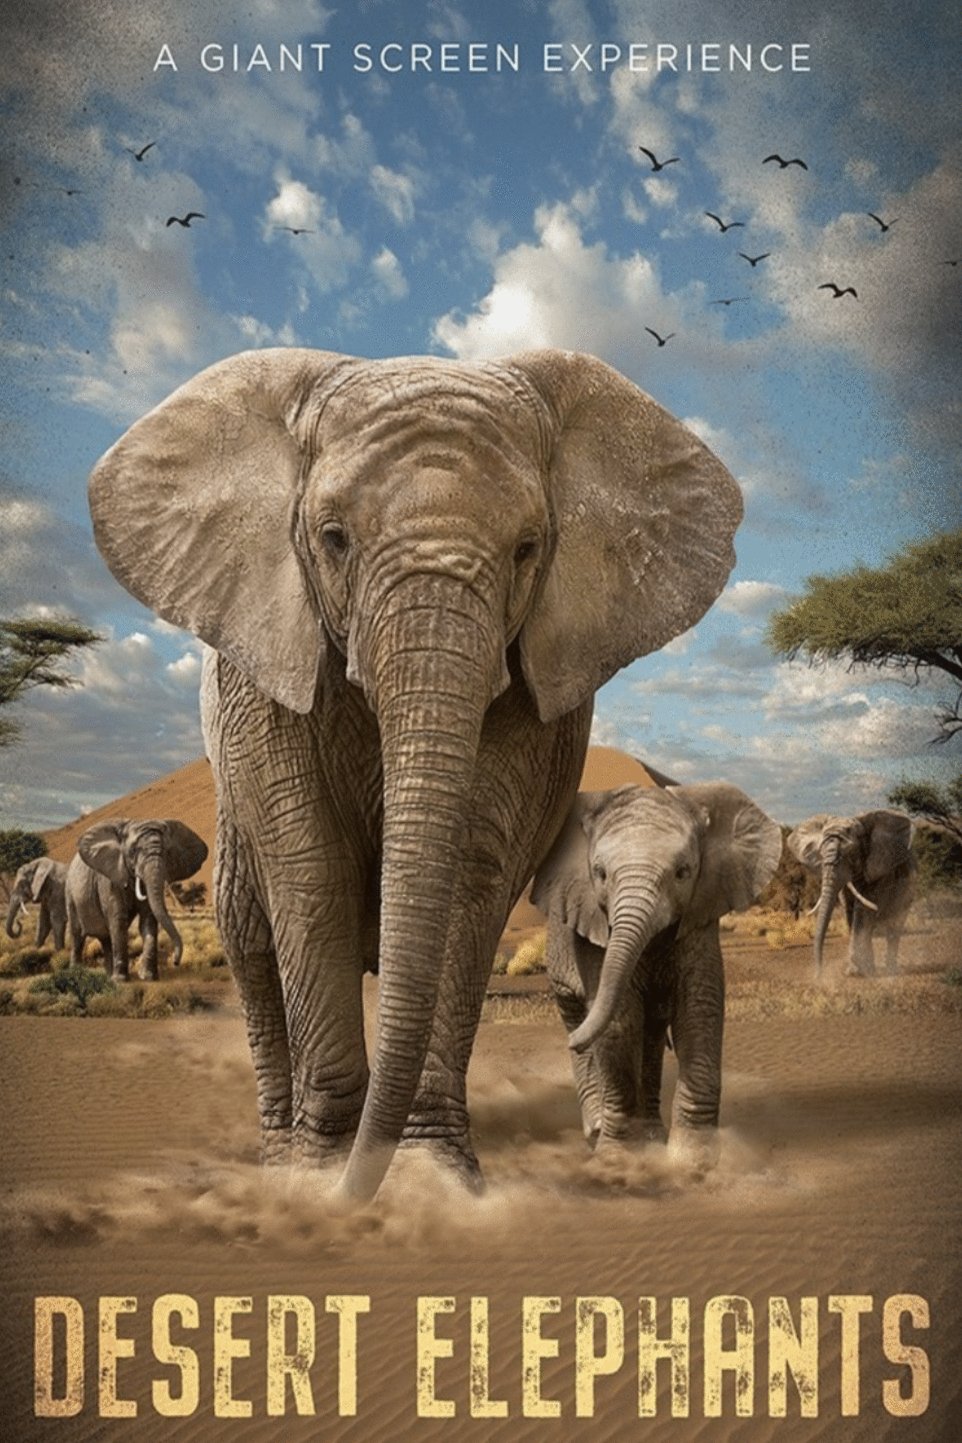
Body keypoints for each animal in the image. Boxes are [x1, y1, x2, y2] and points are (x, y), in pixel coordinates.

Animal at [66, 818, 208, 980]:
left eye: (167, 852)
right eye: (133, 851)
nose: (175, 962)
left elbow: (148, 921)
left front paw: (148, 977)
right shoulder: (110, 879)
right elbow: (118, 921)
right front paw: (121, 980)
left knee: (106, 939)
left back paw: (109, 975)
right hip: (70, 894)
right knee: (77, 937)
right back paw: (77, 973)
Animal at [88, 344, 742, 1202]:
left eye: (528, 547)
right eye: (333, 538)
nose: (354, 1188)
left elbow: (474, 867)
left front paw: (432, 1175)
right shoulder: (259, 671)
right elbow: (310, 868)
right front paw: (323, 1176)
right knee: (252, 943)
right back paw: (281, 1155)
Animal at [532, 782, 782, 1158]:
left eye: (683, 872)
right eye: (599, 874)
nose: (571, 1045)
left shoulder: (699, 915)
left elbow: (699, 1009)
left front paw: (693, 1158)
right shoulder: (593, 932)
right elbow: (620, 1019)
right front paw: (617, 1158)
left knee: (649, 1033)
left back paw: (650, 1135)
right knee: (582, 1018)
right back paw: (598, 1128)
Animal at [787, 810, 915, 976]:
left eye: (851, 853)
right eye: (821, 853)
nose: (818, 976)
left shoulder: (880, 870)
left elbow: (863, 909)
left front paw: (857, 972)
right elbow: (849, 909)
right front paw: (858, 970)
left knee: (895, 926)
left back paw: (891, 971)